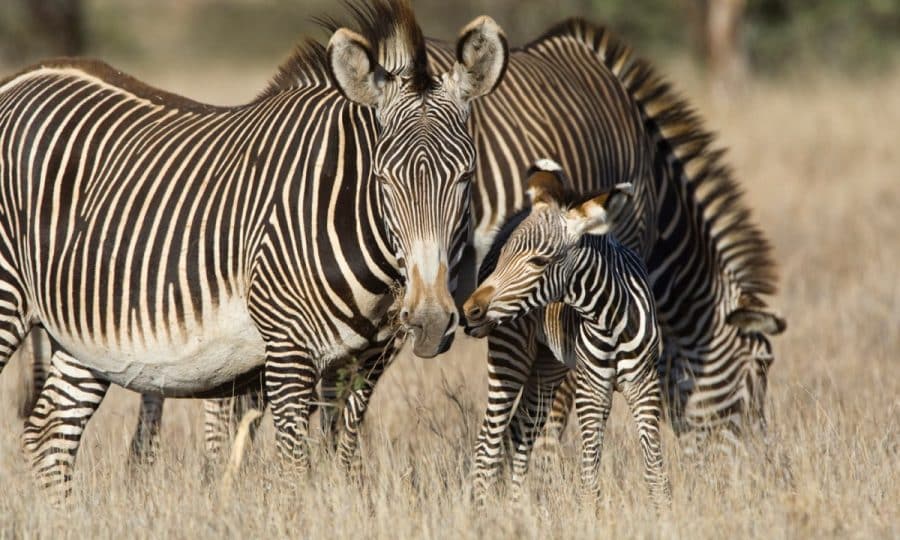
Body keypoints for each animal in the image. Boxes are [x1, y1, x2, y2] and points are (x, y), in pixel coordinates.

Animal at [0, 0, 508, 500]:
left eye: (465, 177)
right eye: (382, 179)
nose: (430, 320)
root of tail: (19, 80)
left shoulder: (367, 358)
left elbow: (343, 456)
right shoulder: (287, 351)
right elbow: (293, 472)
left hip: (83, 335)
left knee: (49, 434)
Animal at [463, 160, 670, 508]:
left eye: (538, 261)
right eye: (505, 257)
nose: (469, 311)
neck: (611, 319)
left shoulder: (645, 386)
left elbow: (655, 472)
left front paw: (663, 513)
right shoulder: (592, 391)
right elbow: (589, 480)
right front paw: (591, 515)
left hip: (549, 364)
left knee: (521, 431)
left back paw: (517, 510)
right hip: (510, 352)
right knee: (487, 443)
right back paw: (482, 511)